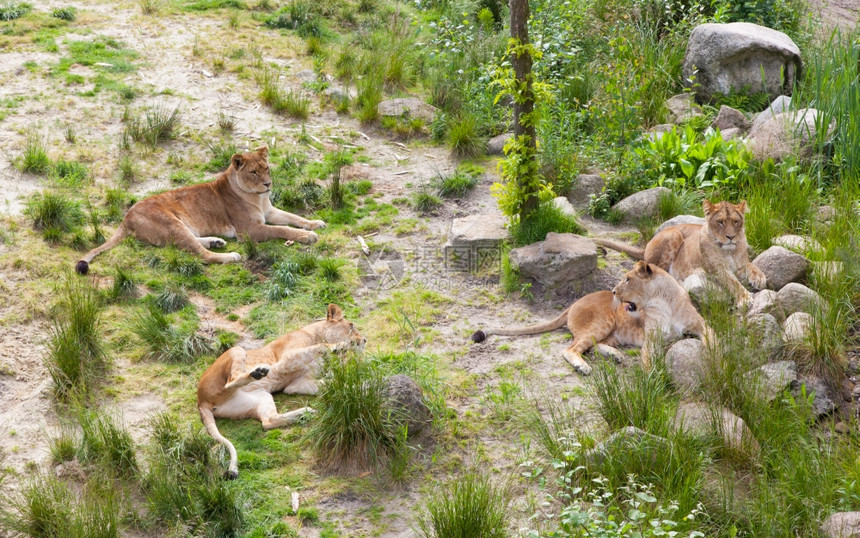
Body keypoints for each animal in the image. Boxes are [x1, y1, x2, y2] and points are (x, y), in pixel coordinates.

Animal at [74, 146, 326, 272]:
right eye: (253, 172)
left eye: (266, 168)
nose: (268, 184)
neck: (258, 197)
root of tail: (126, 217)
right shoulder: (250, 230)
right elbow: (283, 230)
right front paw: (308, 236)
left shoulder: (270, 212)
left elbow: (294, 217)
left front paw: (315, 223)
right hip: (172, 223)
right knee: (201, 255)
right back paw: (229, 255)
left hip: (182, 227)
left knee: (194, 245)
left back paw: (216, 241)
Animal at [198, 304, 366, 476]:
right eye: (351, 325)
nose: (364, 340)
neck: (315, 332)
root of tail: (200, 401)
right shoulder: (286, 360)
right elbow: (319, 347)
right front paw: (338, 347)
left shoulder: (296, 384)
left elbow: (328, 383)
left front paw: (359, 387)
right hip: (236, 350)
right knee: (231, 382)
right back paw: (258, 372)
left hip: (261, 397)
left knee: (268, 421)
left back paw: (305, 414)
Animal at [474, 260, 708, 372]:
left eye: (627, 279)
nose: (613, 291)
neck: (662, 300)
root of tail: (571, 304)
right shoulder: (652, 335)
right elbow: (648, 356)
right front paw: (650, 377)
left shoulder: (701, 324)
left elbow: (712, 339)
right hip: (602, 323)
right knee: (571, 349)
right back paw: (583, 366)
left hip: (612, 332)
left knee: (595, 346)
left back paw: (615, 355)